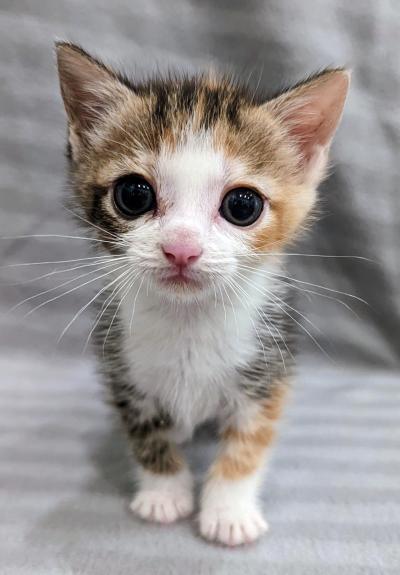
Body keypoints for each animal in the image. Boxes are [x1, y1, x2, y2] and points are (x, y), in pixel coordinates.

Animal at [54, 42, 348, 548]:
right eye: (133, 195)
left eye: (243, 205)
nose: (181, 248)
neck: (188, 320)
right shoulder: (123, 371)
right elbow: (145, 434)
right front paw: (164, 493)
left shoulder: (267, 372)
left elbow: (250, 443)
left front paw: (228, 511)